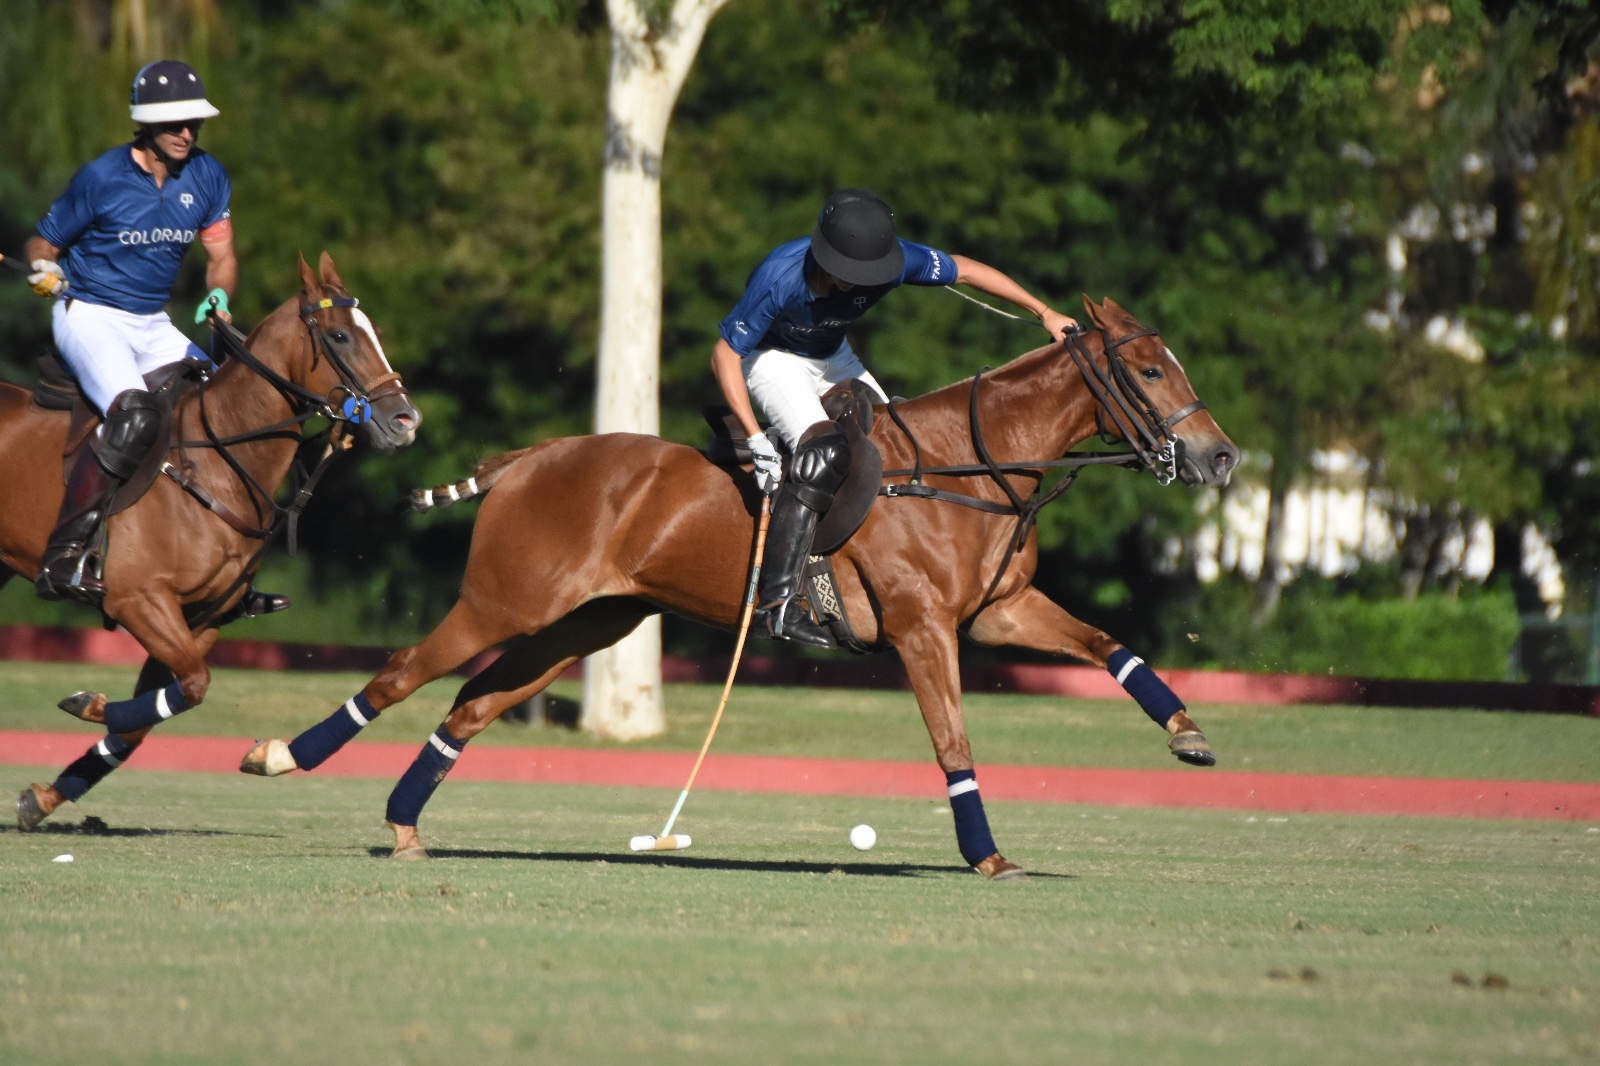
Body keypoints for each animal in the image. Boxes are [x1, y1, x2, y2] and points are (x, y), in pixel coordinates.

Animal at [7, 252, 419, 825]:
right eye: (339, 335)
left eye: (373, 331)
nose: (405, 420)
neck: (218, 466)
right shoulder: (140, 600)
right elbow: (194, 686)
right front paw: (86, 702)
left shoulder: (202, 618)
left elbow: (147, 717)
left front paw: (44, 796)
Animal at [243, 294, 1235, 877]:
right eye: (1151, 369)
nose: (1218, 456)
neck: (967, 467)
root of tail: (526, 460)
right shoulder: (922, 627)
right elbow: (952, 738)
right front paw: (986, 855)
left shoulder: (996, 613)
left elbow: (1110, 647)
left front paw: (1188, 734)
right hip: (501, 600)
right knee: (401, 673)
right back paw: (281, 756)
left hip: (586, 621)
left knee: (474, 703)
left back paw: (406, 821)